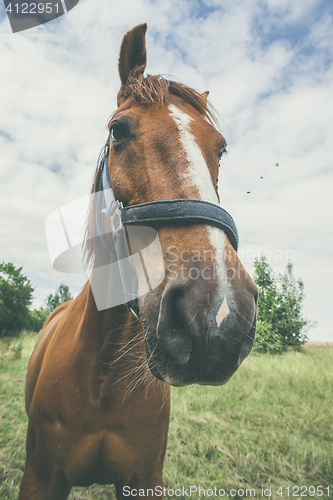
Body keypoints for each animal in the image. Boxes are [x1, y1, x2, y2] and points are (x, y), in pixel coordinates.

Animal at [17, 23, 256, 500]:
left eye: (220, 150)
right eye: (118, 130)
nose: (217, 314)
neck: (104, 375)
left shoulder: (144, 480)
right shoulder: (39, 478)